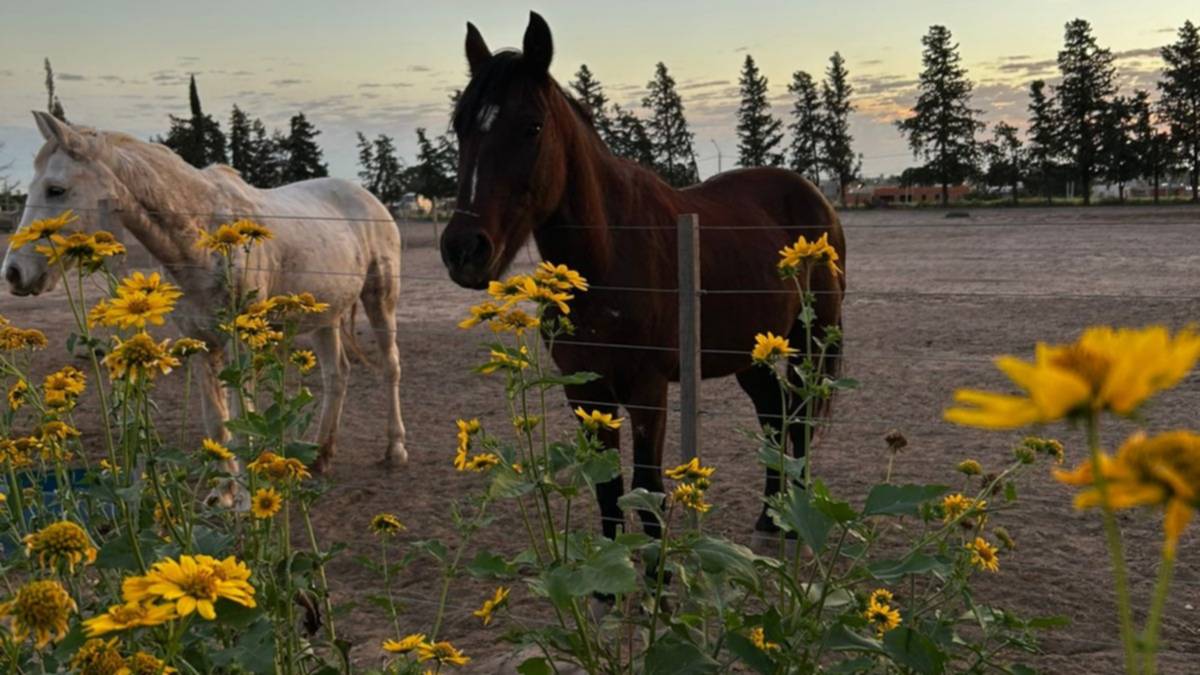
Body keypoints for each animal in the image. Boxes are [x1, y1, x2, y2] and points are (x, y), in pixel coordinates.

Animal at [2, 111, 408, 475]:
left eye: (56, 189)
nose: (13, 273)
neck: (203, 235)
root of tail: (366, 196)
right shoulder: (200, 343)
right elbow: (217, 422)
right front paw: (223, 496)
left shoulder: (240, 346)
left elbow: (242, 423)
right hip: (325, 315)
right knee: (336, 375)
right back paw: (321, 455)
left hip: (381, 298)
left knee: (390, 367)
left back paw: (395, 450)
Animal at [439, 12, 846, 539]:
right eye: (460, 127)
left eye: (532, 126)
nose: (463, 249)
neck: (609, 258)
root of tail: (816, 199)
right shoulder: (584, 390)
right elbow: (607, 491)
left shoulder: (647, 390)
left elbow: (647, 490)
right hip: (751, 348)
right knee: (774, 412)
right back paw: (770, 515)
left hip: (808, 341)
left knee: (798, 418)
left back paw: (797, 522)